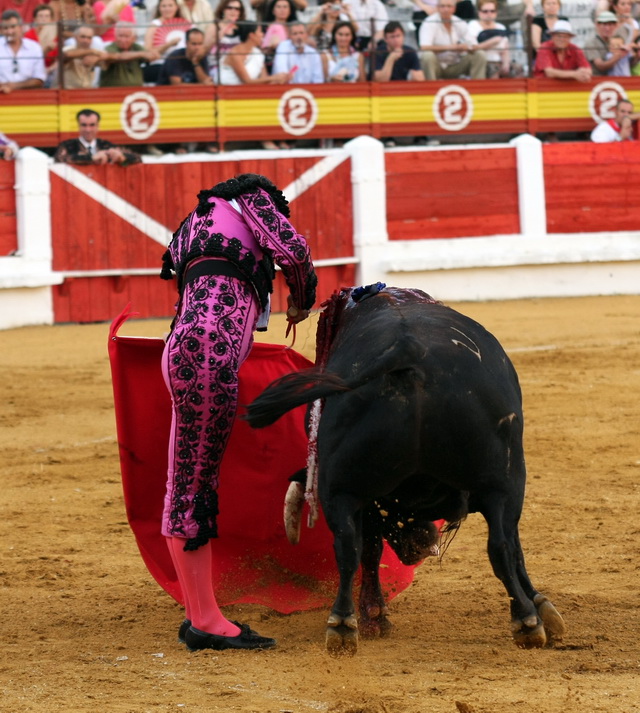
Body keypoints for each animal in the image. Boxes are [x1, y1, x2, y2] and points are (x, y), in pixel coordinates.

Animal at [245, 286, 564, 652]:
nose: (418, 549)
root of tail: (408, 353)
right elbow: (514, 548)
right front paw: (542, 608)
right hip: (503, 480)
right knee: (500, 545)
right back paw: (525, 620)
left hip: (343, 488)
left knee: (349, 548)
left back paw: (344, 625)